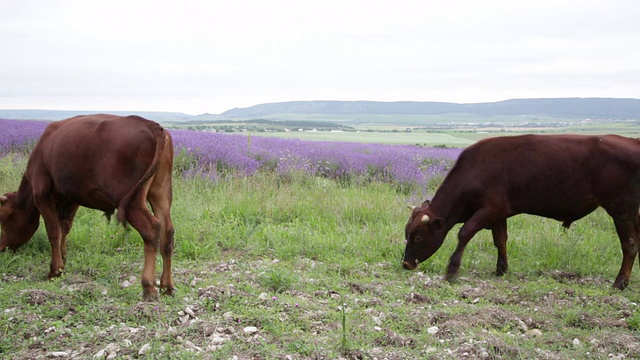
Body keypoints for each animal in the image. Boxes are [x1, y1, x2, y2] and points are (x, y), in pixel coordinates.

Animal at [0, 113, 175, 300]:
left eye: (5, 218)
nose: (1, 247)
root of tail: (152, 125)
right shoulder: (71, 198)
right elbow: (64, 228)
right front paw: (63, 259)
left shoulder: (41, 194)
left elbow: (53, 232)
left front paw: (55, 270)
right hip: (160, 194)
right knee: (167, 232)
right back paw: (167, 286)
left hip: (132, 201)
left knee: (152, 229)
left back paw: (149, 286)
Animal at [402, 134, 640, 290]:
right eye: (407, 233)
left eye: (419, 237)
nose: (406, 263)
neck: (474, 169)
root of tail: (632, 141)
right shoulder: (498, 214)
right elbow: (500, 240)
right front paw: (501, 269)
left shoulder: (490, 209)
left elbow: (464, 233)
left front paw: (451, 270)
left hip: (623, 210)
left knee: (629, 244)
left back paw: (619, 283)